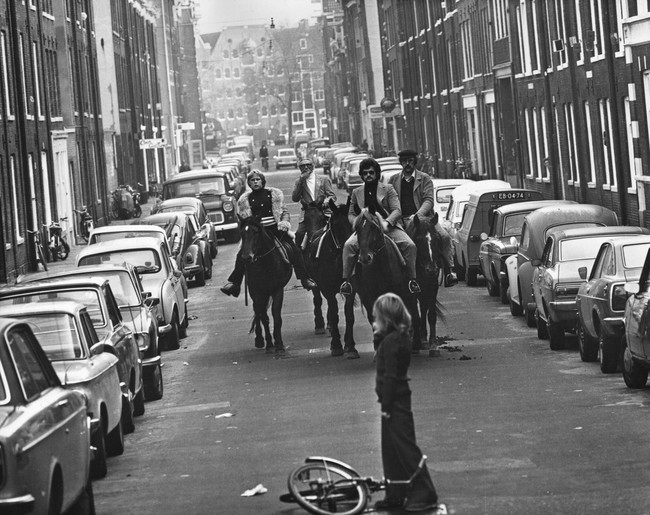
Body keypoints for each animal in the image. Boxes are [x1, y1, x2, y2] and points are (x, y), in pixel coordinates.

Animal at [239, 216, 290, 352]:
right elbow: (264, 317)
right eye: (242, 234)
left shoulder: (277, 290)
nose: (246, 257)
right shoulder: (257, 292)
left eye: (256, 232)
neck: (265, 265)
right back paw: (259, 340)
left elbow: (276, 316)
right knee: (257, 312)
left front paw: (279, 344)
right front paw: (269, 344)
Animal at [302, 200, 356, 356]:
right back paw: (321, 324)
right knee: (319, 300)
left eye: (352, 223)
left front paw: (350, 346)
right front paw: (336, 345)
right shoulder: (327, 289)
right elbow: (334, 314)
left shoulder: (351, 289)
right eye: (336, 225)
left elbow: (349, 315)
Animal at [350, 209, 420, 350]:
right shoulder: (369, 298)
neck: (381, 268)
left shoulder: (400, 295)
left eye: (373, 227)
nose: (365, 258)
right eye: (357, 228)